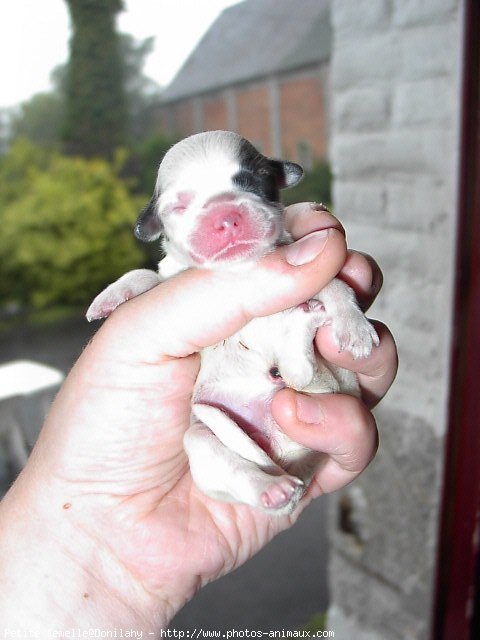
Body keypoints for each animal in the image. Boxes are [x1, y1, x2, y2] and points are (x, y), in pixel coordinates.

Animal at [87, 130, 378, 516]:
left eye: (256, 179)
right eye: (179, 206)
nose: (225, 216)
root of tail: (287, 459)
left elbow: (336, 284)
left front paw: (354, 327)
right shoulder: (171, 282)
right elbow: (147, 275)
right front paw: (111, 296)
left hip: (329, 386)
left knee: (298, 374)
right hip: (201, 438)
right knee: (238, 457)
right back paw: (273, 489)